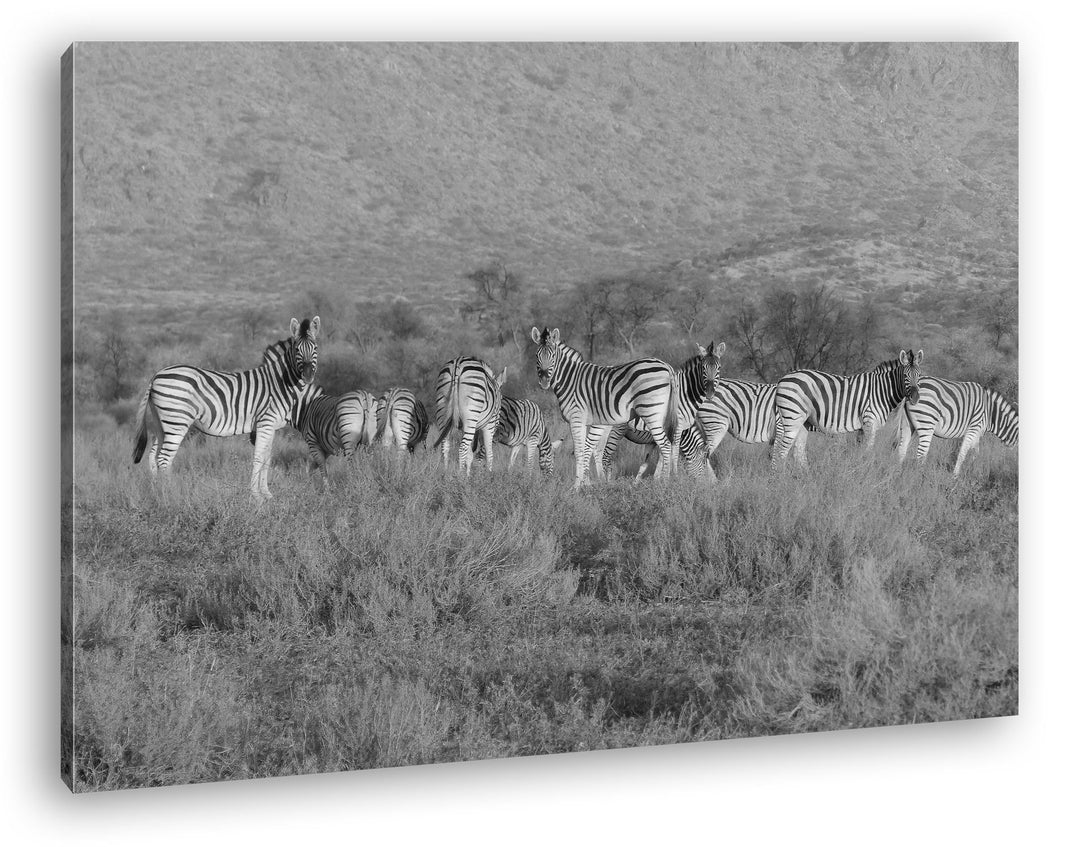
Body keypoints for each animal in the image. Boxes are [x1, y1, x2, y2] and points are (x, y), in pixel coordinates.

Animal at [132, 316, 320, 499]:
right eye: (297, 349)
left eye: (315, 347)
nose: (308, 376)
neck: (280, 382)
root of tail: (156, 375)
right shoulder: (266, 422)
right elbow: (259, 457)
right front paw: (256, 496)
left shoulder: (271, 426)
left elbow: (267, 457)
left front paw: (267, 494)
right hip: (177, 421)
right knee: (164, 459)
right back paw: (171, 496)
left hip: (161, 422)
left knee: (153, 456)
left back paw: (157, 493)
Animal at [531, 326, 679, 488]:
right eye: (537, 356)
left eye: (553, 356)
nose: (544, 380)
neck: (570, 380)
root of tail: (667, 366)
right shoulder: (584, 421)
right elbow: (584, 449)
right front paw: (584, 484)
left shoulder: (576, 418)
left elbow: (579, 450)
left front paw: (576, 486)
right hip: (662, 416)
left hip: (650, 412)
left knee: (665, 445)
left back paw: (664, 483)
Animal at [598, 342, 726, 480]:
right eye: (703, 368)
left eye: (719, 368)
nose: (710, 393)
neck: (685, 394)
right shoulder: (677, 428)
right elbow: (672, 454)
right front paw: (672, 477)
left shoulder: (656, 439)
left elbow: (651, 462)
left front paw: (655, 480)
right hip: (615, 428)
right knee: (603, 453)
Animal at [772, 349, 924, 468]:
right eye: (905, 376)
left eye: (919, 375)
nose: (915, 398)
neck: (881, 390)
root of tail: (782, 379)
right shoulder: (869, 421)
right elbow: (868, 450)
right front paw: (866, 471)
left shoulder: (862, 427)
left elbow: (860, 450)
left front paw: (858, 469)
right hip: (792, 417)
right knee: (781, 451)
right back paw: (779, 479)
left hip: (804, 421)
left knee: (797, 451)